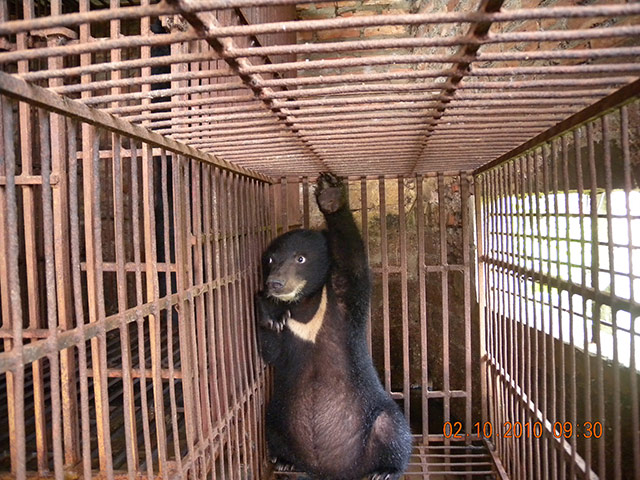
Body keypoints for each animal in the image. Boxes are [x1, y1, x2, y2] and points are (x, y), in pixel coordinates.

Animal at [255, 173, 412, 480]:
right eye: (270, 259)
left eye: (300, 258)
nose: (275, 283)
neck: (306, 303)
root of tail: (331, 470)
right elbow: (272, 350)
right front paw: (270, 310)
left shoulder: (344, 297)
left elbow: (352, 259)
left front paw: (331, 197)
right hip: (279, 413)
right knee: (271, 424)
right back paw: (284, 460)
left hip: (374, 418)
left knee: (393, 428)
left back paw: (385, 470)